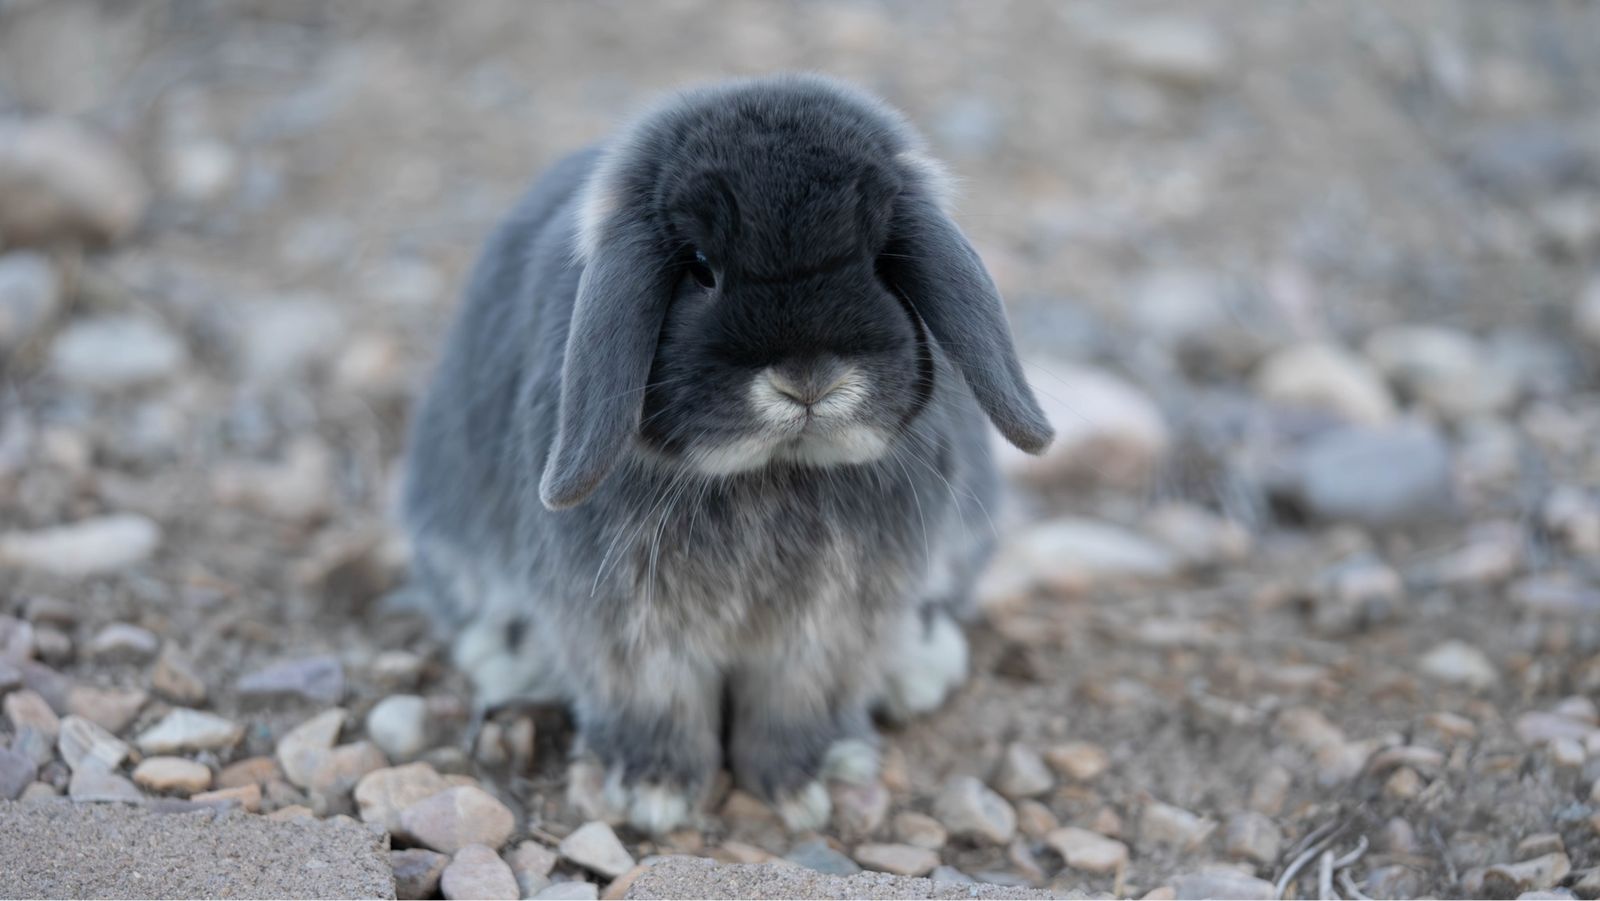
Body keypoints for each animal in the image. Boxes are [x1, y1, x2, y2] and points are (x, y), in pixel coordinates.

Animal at [398, 74, 1052, 834]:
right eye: (702, 269)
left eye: (877, 258)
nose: (808, 378)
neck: (772, 473)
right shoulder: (631, 638)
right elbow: (659, 705)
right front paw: (650, 791)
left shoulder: (829, 634)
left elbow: (796, 706)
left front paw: (812, 780)